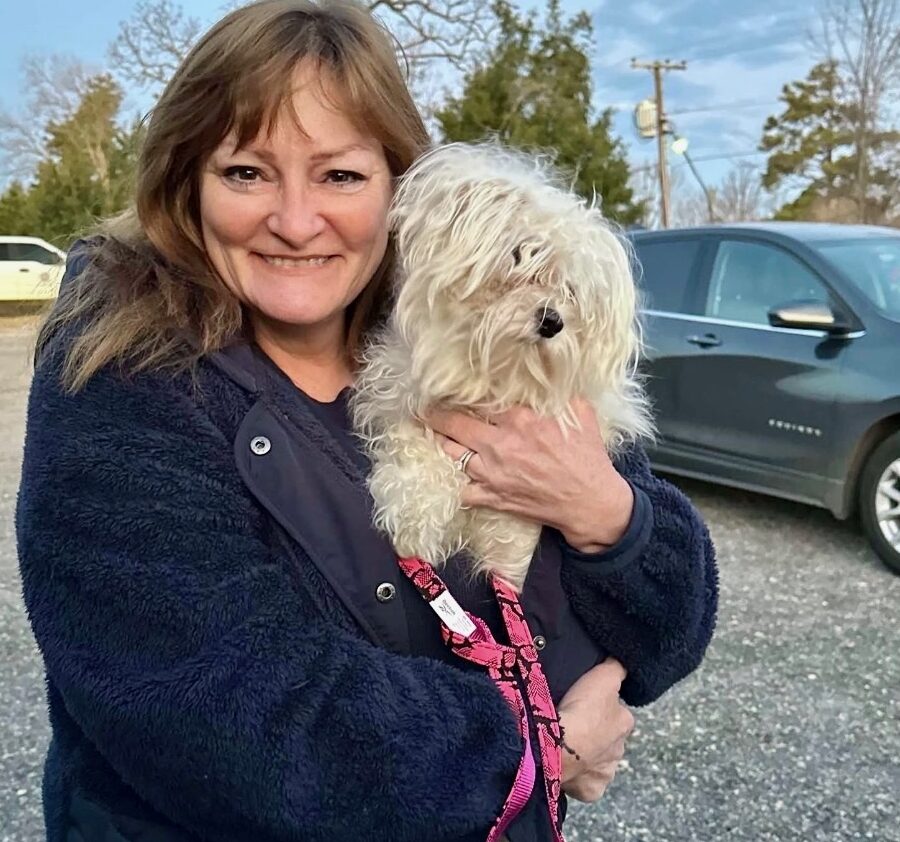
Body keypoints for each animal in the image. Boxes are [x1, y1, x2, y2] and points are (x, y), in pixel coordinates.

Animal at [350, 142, 652, 592]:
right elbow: (415, 446)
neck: (491, 377)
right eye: (519, 255)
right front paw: (416, 513)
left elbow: (509, 539)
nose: (552, 320)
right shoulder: (403, 396)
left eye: (571, 290)